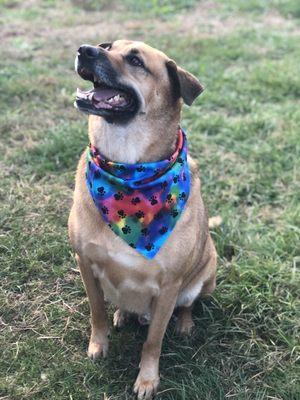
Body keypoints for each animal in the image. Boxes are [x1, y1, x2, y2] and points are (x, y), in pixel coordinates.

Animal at [69, 39, 217, 398]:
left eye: (136, 61)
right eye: (107, 45)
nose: (85, 49)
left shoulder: (169, 287)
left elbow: (153, 341)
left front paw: (148, 379)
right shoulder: (84, 262)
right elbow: (97, 312)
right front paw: (99, 345)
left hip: (209, 267)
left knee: (187, 304)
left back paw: (185, 324)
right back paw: (123, 313)